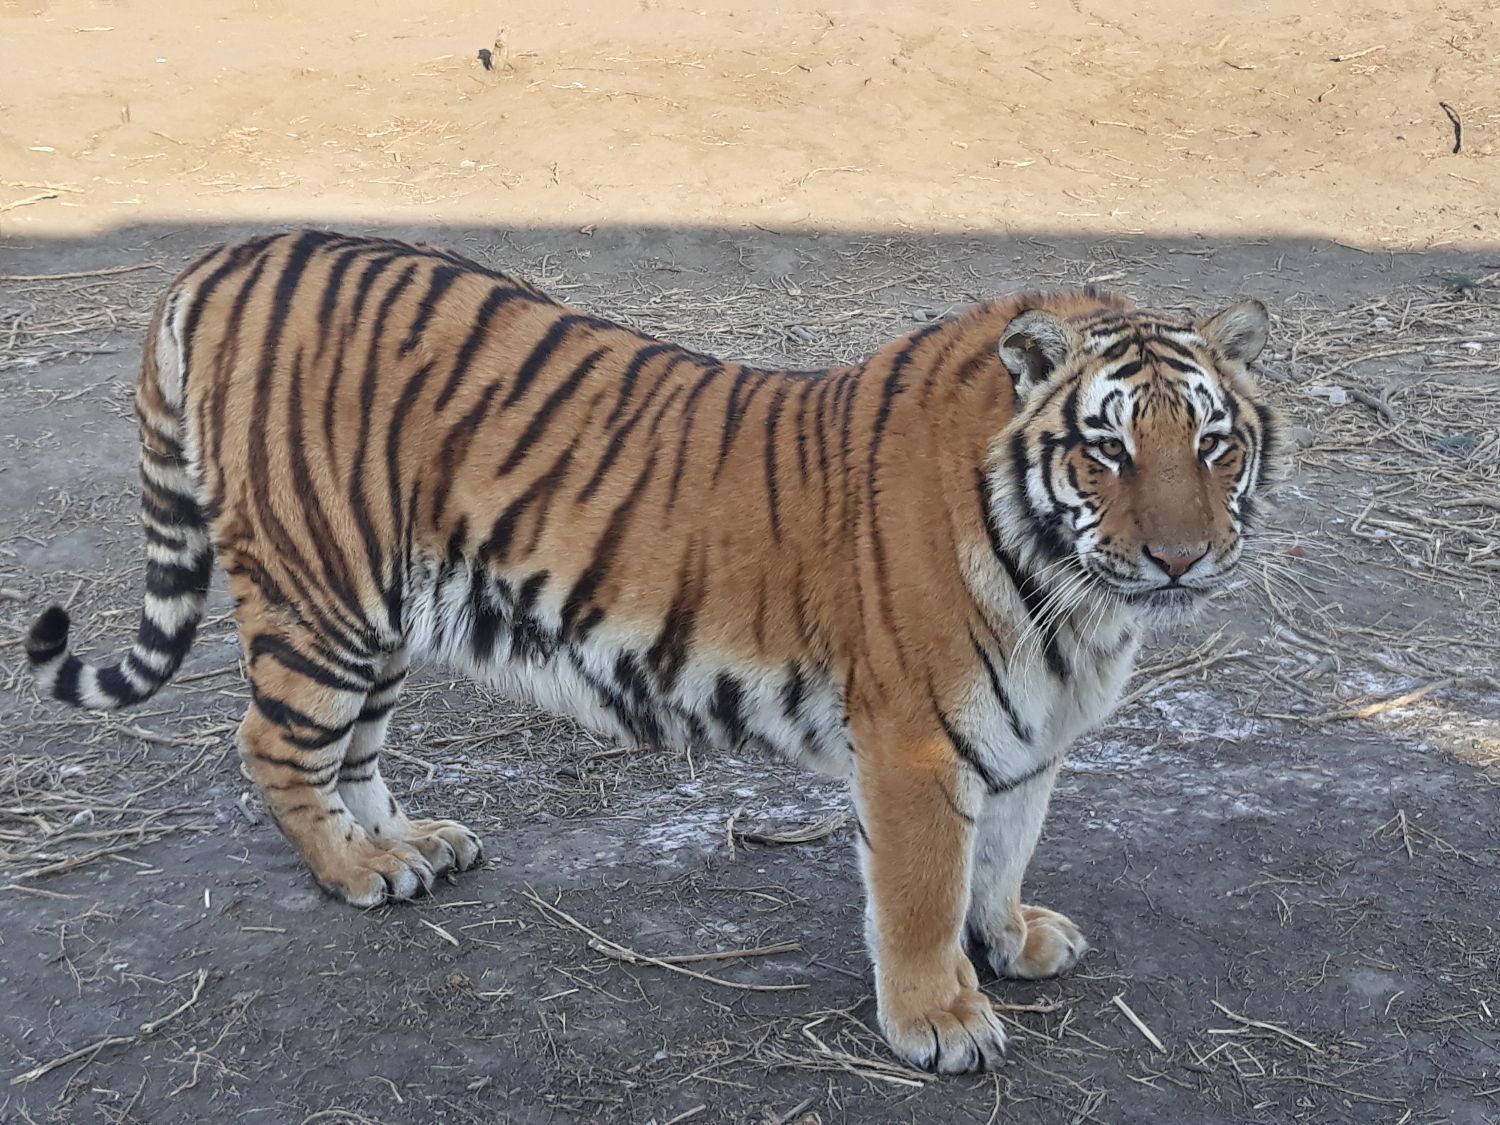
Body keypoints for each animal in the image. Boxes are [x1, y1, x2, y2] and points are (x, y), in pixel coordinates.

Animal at [23, 229, 1278, 1074]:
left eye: (1215, 445)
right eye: (1107, 451)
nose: (1181, 559)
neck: (1075, 603)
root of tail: (234, 252)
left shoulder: (1026, 736)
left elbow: (1006, 852)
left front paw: (1012, 940)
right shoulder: (917, 746)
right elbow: (923, 890)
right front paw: (939, 1020)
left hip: (384, 609)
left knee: (353, 754)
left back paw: (409, 844)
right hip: (321, 591)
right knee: (274, 748)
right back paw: (357, 872)